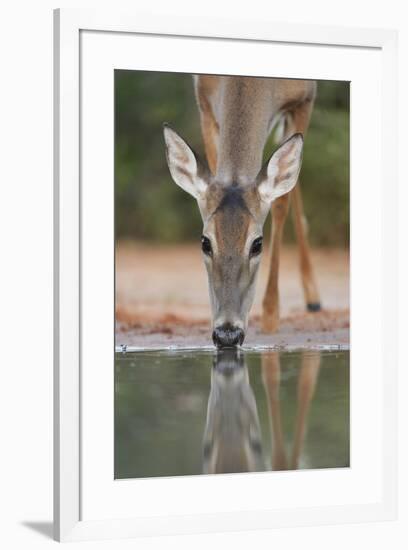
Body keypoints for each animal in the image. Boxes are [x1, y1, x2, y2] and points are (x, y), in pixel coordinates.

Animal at [164, 74, 320, 350]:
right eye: (205, 242)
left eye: (258, 244)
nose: (227, 334)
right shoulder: (204, 100)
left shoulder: (304, 98)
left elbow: (281, 202)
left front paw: (271, 315)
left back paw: (313, 297)